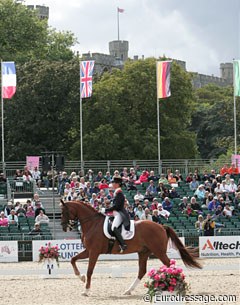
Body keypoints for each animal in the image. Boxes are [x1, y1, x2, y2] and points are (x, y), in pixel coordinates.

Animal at [60, 200, 201, 294]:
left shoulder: (94, 251)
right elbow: (73, 259)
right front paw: (81, 277)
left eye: (64, 211)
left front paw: (86, 290)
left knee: (169, 265)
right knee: (142, 270)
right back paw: (128, 290)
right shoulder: (88, 250)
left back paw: (177, 285)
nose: (64, 227)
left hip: (158, 251)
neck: (92, 224)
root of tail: (161, 226)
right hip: (144, 252)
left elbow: (89, 270)